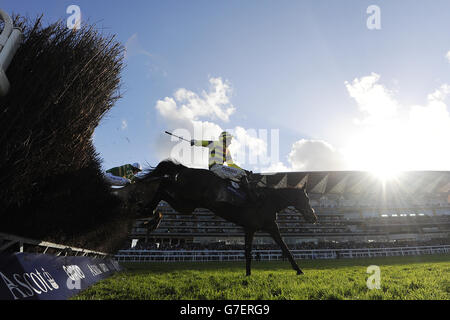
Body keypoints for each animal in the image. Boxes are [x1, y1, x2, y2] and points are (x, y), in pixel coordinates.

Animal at [130, 160, 318, 276]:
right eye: (307, 199)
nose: (314, 217)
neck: (268, 200)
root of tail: (186, 168)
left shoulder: (254, 228)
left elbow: (253, 252)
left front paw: (248, 275)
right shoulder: (268, 226)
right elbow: (284, 248)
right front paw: (299, 270)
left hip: (187, 204)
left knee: (164, 187)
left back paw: (151, 215)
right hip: (186, 200)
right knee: (163, 186)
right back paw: (149, 212)